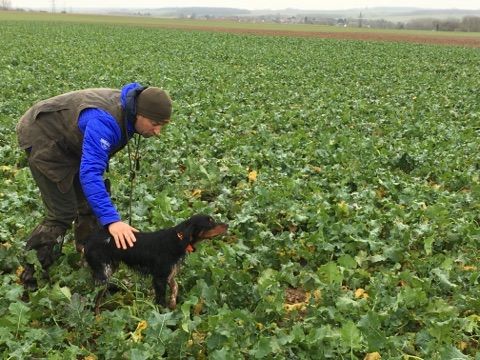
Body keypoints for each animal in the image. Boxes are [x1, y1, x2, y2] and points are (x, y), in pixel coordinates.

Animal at [83, 214, 228, 312]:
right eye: (210, 223)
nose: (227, 225)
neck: (178, 239)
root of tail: (88, 241)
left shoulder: (169, 274)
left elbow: (175, 288)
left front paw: (173, 304)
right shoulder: (159, 278)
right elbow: (161, 299)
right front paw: (164, 314)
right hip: (103, 274)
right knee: (95, 300)